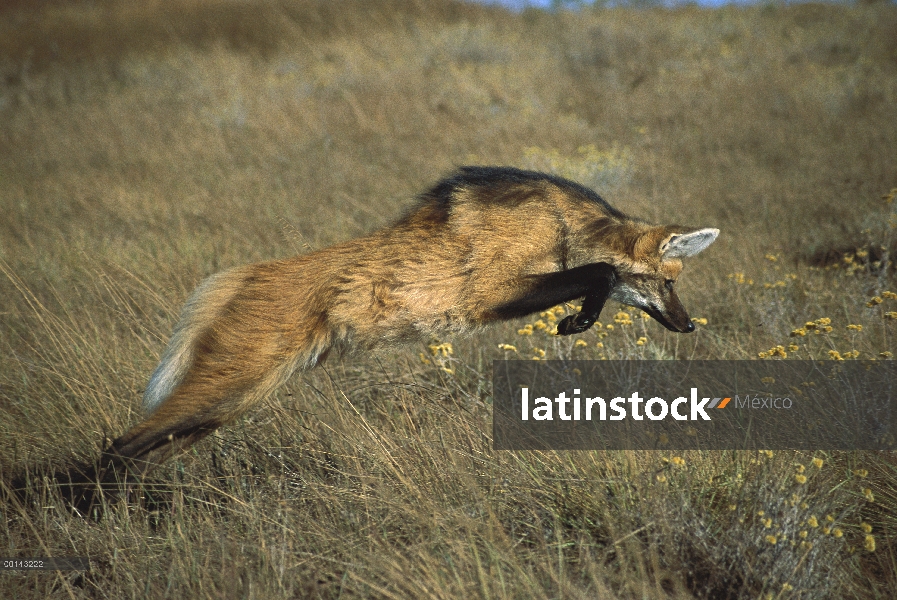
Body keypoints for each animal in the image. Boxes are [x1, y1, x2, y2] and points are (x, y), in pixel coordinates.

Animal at [96, 168, 720, 482]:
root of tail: (241, 275)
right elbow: (598, 273)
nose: (688, 326)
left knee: (139, 449)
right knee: (117, 448)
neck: (563, 222)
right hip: (230, 386)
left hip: (230, 403)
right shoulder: (490, 291)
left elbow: (595, 273)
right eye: (669, 282)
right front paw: (579, 320)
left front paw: (580, 318)